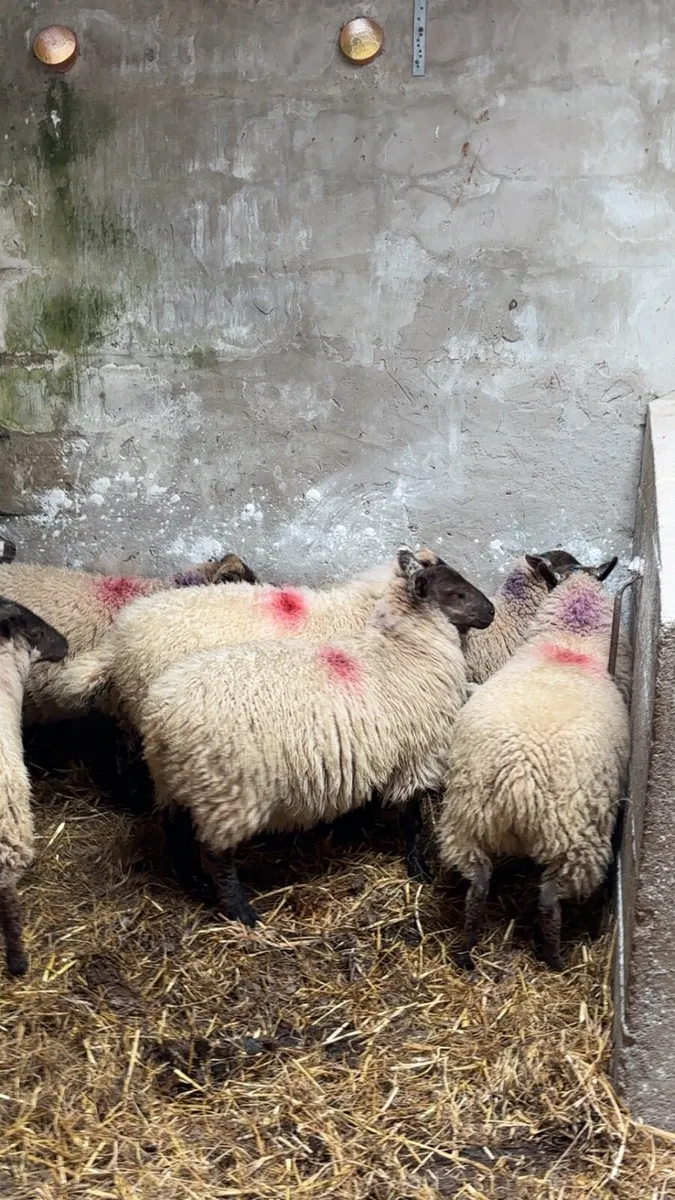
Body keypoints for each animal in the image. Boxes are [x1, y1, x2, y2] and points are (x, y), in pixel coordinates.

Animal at [138, 548, 495, 926]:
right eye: (454, 593)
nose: (491, 611)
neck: (401, 650)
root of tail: (161, 715)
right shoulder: (414, 758)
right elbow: (412, 822)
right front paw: (418, 870)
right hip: (228, 793)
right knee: (216, 856)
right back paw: (242, 913)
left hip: (177, 782)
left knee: (172, 831)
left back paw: (194, 885)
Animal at [437, 567, 630, 972]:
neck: (568, 645)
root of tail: (519, 778)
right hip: (575, 844)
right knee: (548, 900)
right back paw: (555, 959)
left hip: (465, 823)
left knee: (478, 888)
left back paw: (465, 952)